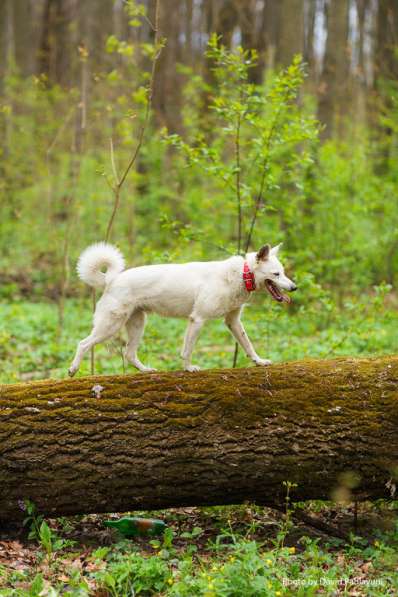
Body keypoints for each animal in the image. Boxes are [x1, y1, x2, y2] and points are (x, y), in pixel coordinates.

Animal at [69, 241, 296, 372]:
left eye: (283, 272)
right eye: (276, 274)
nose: (294, 287)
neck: (242, 274)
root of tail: (111, 279)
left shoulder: (233, 321)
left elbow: (248, 345)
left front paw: (259, 361)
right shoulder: (197, 319)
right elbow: (187, 350)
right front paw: (189, 368)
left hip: (137, 325)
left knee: (129, 354)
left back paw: (147, 370)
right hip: (110, 326)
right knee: (83, 343)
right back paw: (73, 369)